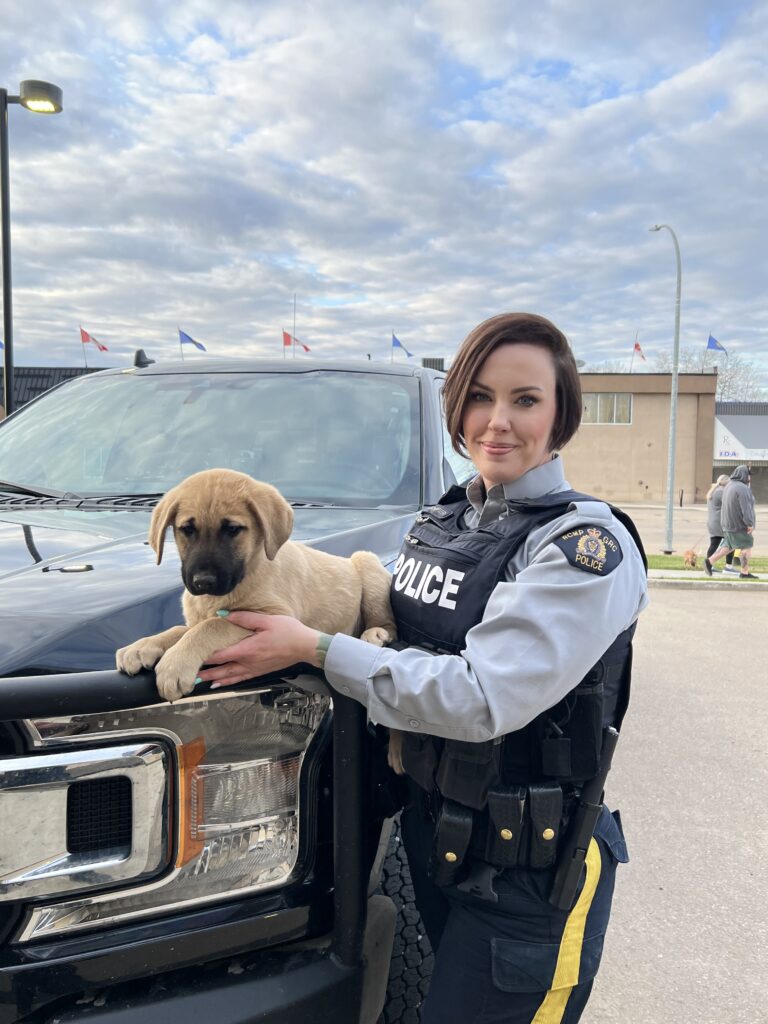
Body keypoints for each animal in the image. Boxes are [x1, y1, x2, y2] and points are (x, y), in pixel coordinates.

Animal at [117, 468, 405, 770]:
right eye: (187, 530)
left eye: (232, 529)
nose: (203, 582)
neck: (248, 569)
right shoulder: (198, 619)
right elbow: (179, 629)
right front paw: (142, 647)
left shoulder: (274, 616)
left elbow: (213, 625)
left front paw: (175, 665)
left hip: (365, 563)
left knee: (389, 625)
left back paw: (375, 634)